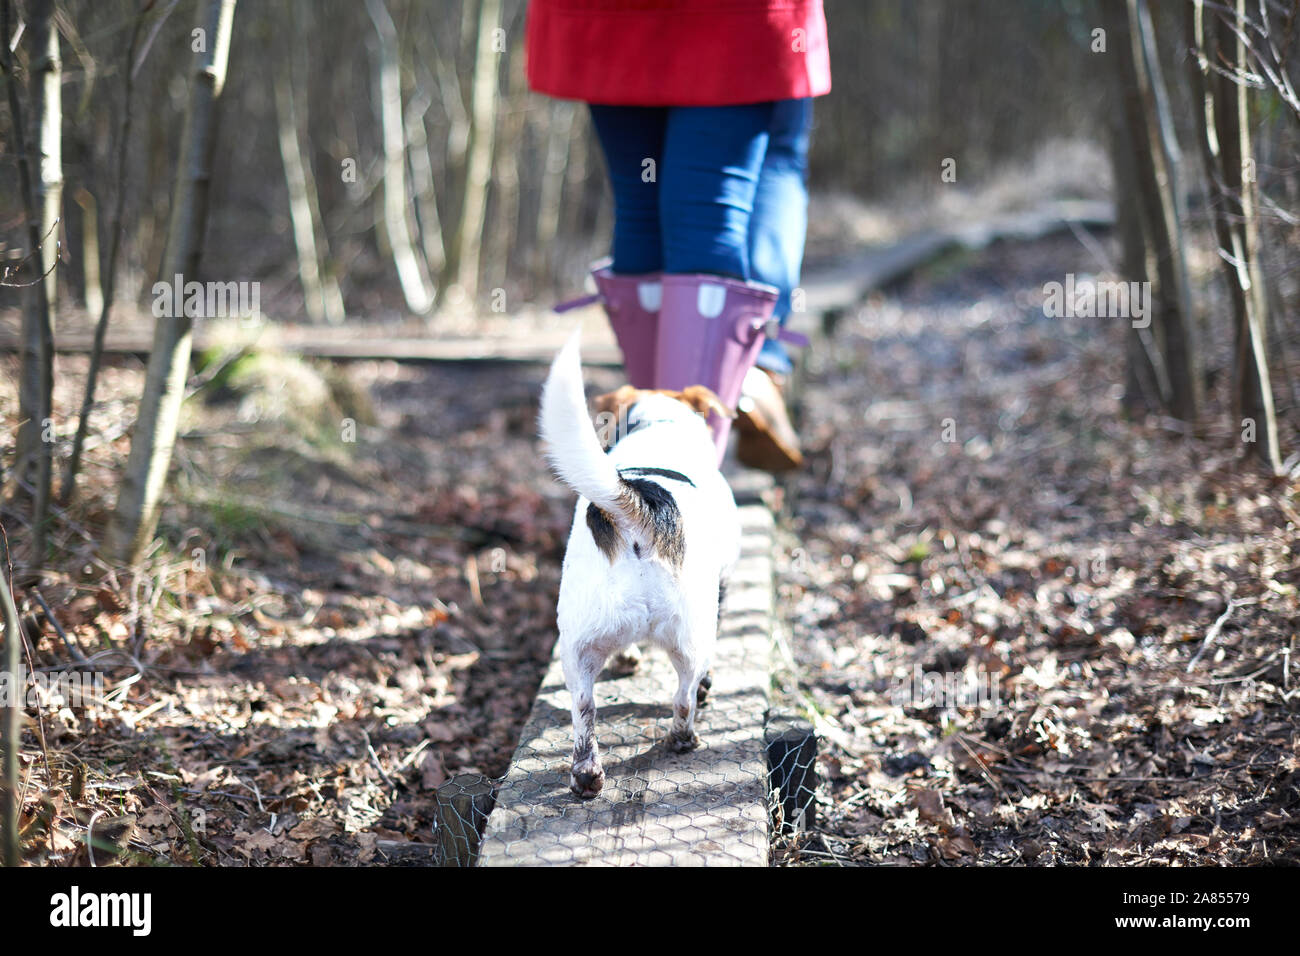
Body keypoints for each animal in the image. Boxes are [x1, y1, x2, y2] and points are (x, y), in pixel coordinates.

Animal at [538, 332, 743, 796]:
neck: (658, 425)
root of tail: (639, 510)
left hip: (577, 647)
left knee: (584, 709)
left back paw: (587, 776)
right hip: (692, 636)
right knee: (684, 697)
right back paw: (683, 739)